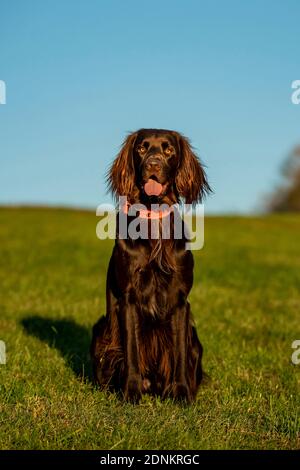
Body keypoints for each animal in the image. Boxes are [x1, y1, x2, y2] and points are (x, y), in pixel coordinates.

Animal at [90, 129, 210, 404]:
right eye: (142, 149)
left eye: (168, 150)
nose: (153, 165)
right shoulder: (128, 299)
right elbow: (132, 351)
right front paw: (131, 392)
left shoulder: (180, 301)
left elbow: (178, 353)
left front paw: (181, 393)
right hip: (101, 330)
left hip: (195, 340)